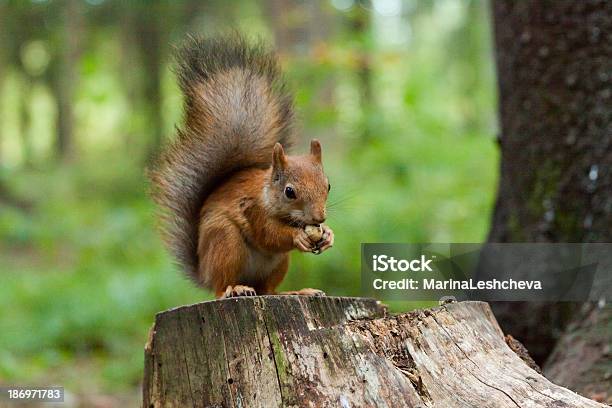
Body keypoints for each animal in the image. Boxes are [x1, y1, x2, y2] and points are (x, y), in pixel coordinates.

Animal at [152, 35, 334, 298]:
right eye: (289, 192)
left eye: (328, 186)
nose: (319, 217)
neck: (268, 195)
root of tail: (205, 273)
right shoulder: (253, 209)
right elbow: (269, 234)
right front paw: (297, 237)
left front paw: (328, 235)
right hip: (225, 243)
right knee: (223, 286)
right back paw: (235, 288)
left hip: (279, 263)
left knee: (269, 290)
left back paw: (297, 292)